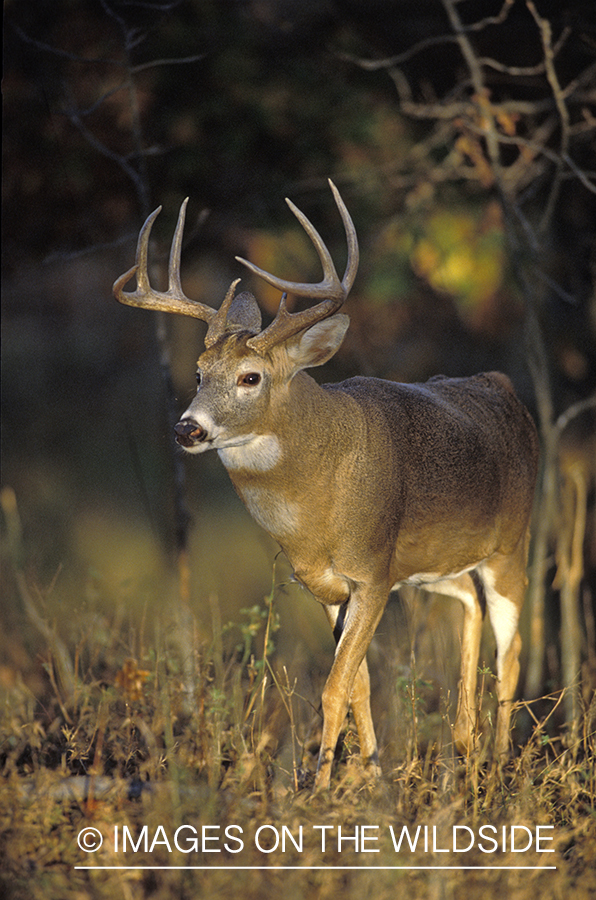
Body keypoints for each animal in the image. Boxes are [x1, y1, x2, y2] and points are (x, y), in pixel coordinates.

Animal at [113, 181, 539, 791]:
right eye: (196, 373)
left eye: (251, 377)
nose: (187, 428)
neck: (315, 510)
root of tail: (503, 387)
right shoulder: (324, 584)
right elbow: (357, 682)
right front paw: (370, 774)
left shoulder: (372, 572)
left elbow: (336, 685)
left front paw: (319, 787)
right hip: (434, 565)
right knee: (469, 604)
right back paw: (464, 745)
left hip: (511, 544)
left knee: (513, 649)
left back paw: (499, 765)